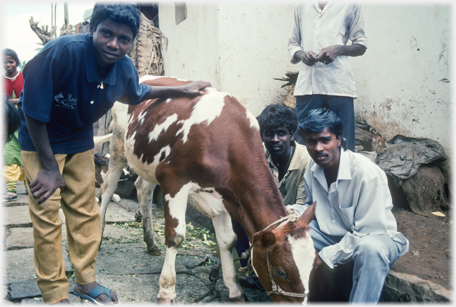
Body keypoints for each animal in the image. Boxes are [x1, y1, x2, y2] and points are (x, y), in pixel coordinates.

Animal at [100, 76, 318, 304]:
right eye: (281, 271)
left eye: (313, 269)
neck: (227, 140)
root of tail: (146, 77)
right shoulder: (173, 178)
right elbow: (176, 236)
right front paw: (167, 291)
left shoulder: (226, 194)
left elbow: (228, 240)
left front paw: (235, 290)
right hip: (118, 146)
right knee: (108, 188)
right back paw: (100, 235)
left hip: (150, 163)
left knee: (143, 191)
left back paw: (151, 243)